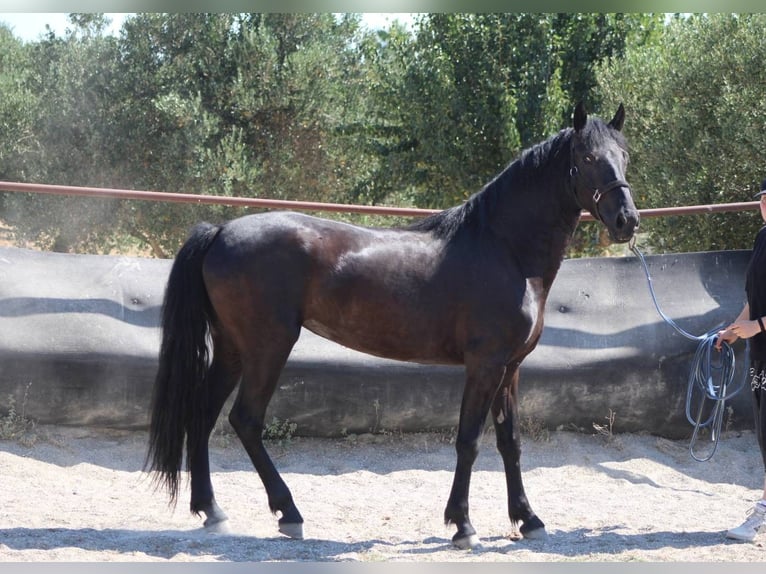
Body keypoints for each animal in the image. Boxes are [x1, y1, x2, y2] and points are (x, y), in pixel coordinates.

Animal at [145, 102, 639, 549]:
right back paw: (289, 513)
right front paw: (462, 524)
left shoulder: (511, 368)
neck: (505, 250)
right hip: (268, 346)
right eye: (587, 158)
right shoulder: (484, 365)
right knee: (245, 420)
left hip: (233, 348)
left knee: (203, 415)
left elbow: (510, 442)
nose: (627, 220)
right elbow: (468, 441)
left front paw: (528, 519)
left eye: (624, 155)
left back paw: (212, 511)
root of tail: (220, 231)